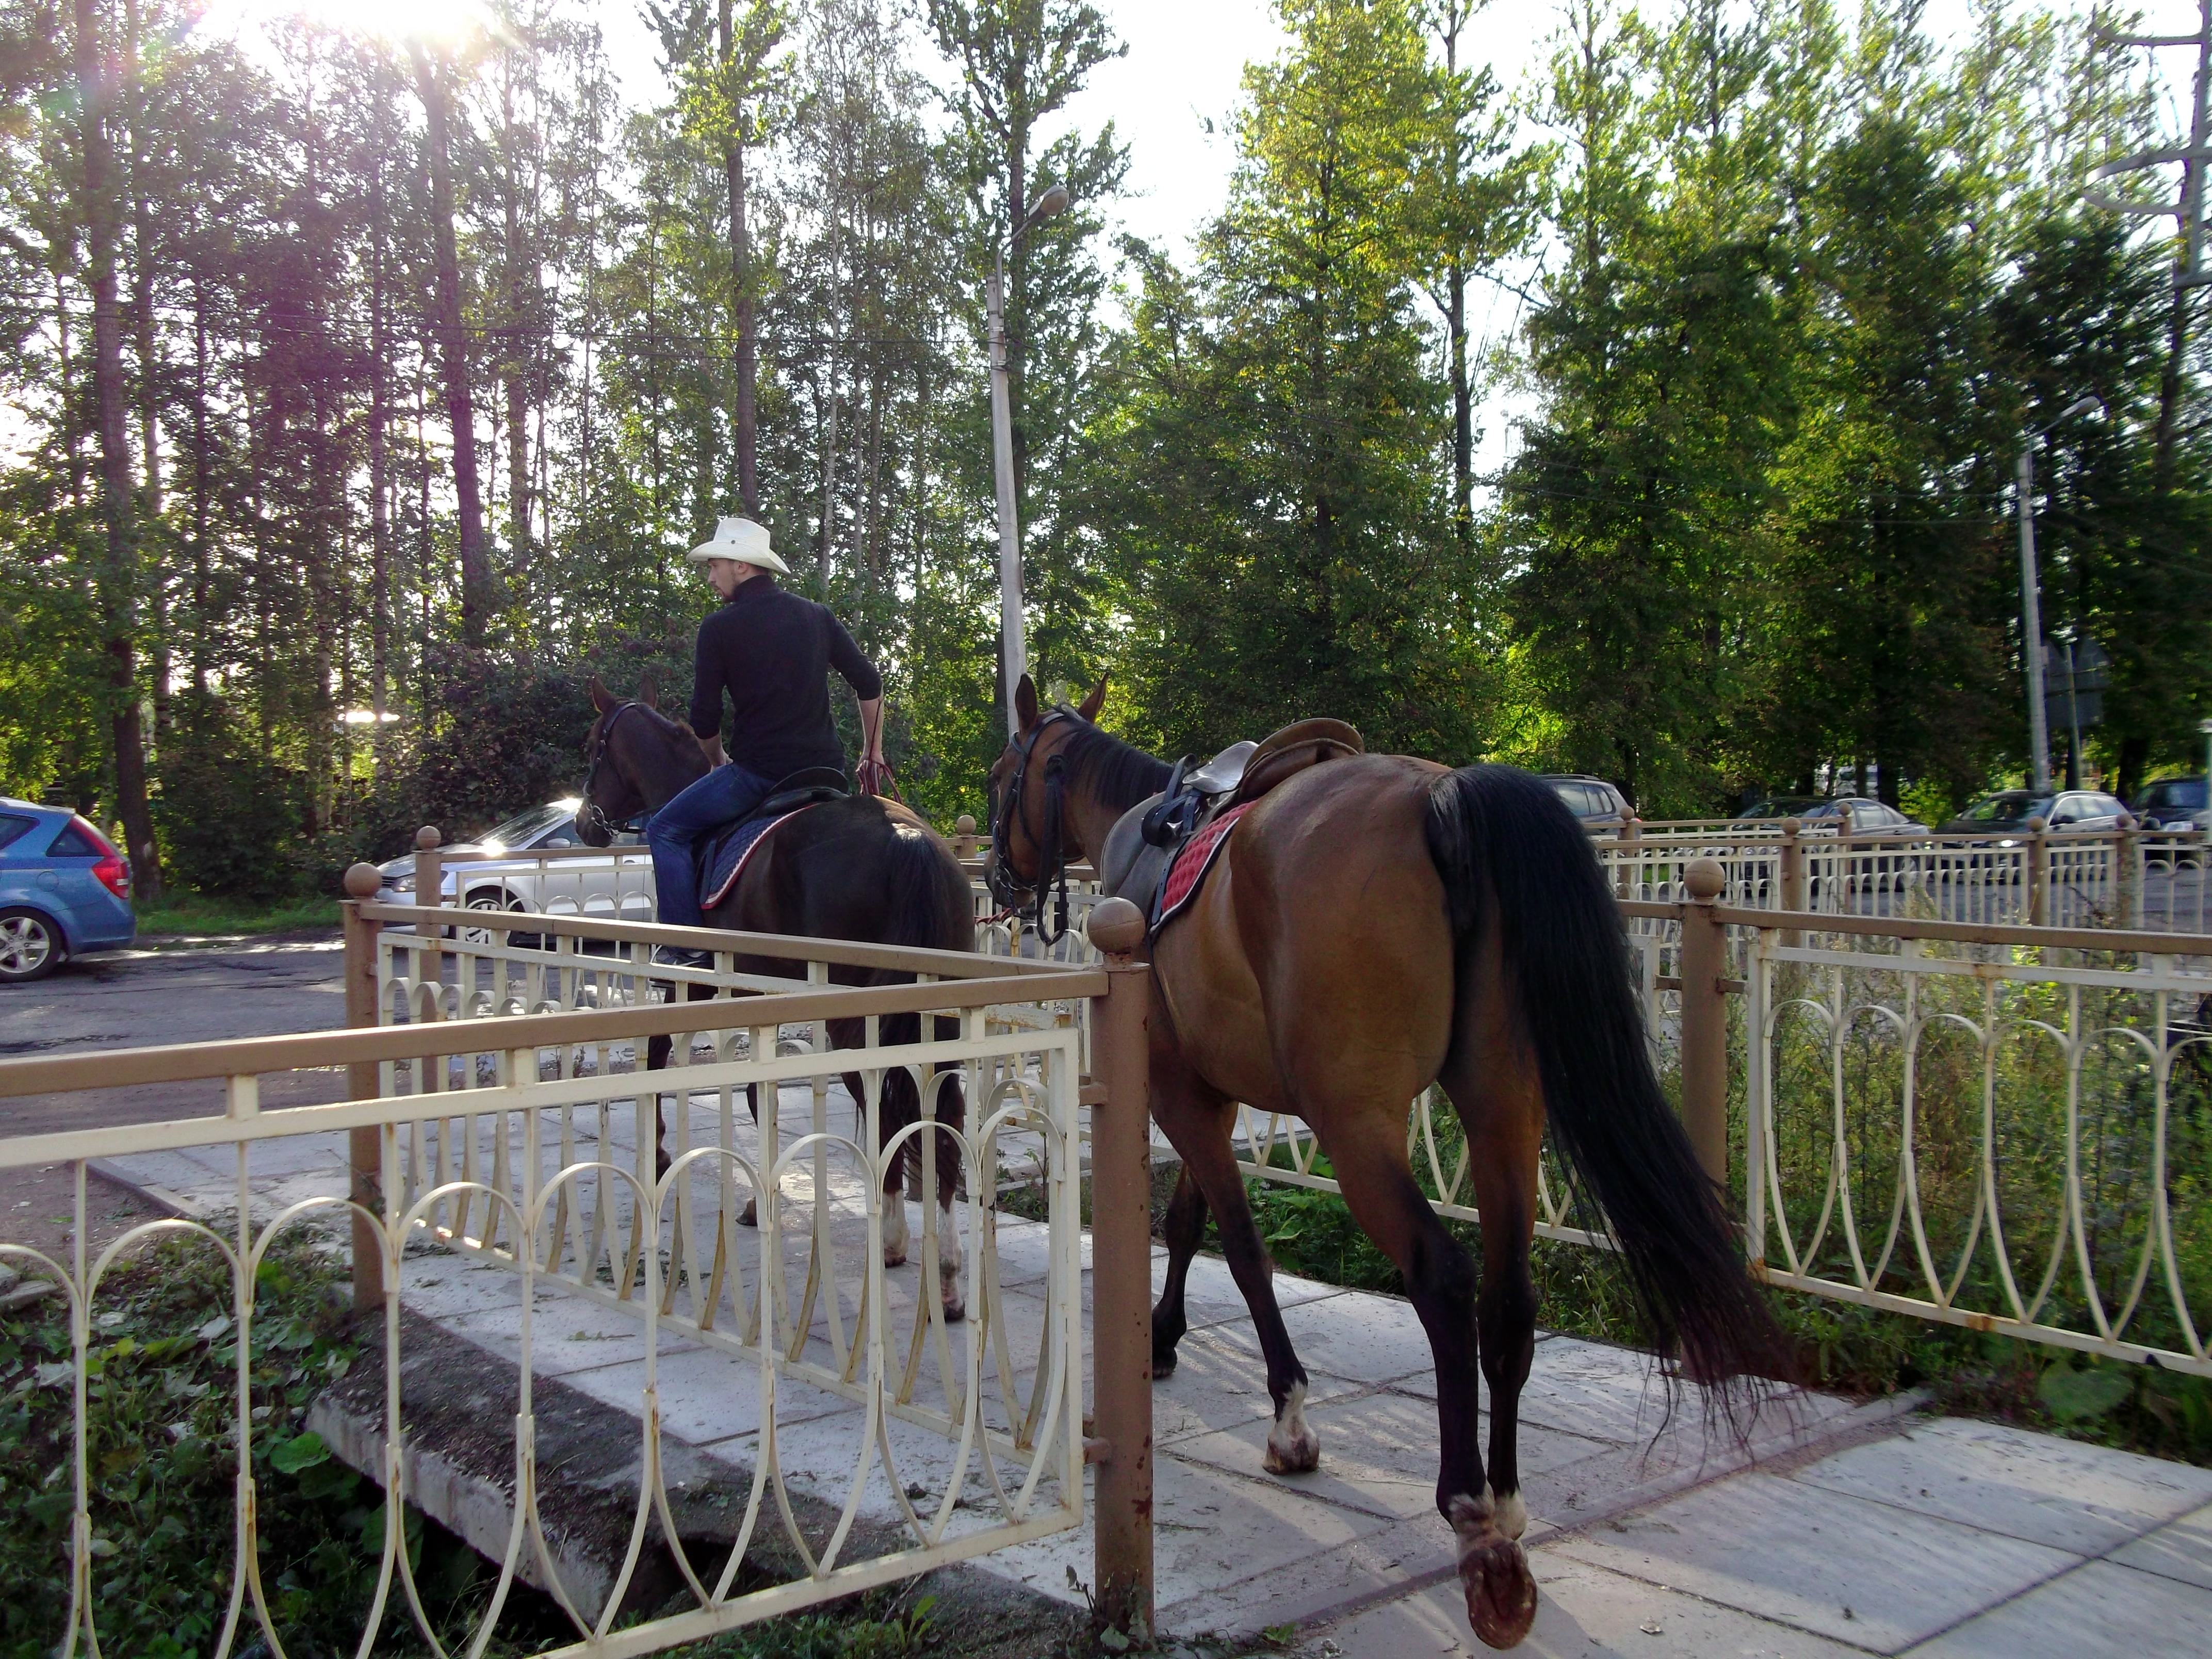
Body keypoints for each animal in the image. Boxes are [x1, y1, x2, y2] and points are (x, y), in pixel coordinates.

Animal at [579, 677, 978, 1327]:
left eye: (594, 747)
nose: (586, 822)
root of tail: (908, 839)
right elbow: (757, 1088)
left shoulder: (696, 982)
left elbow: (667, 1054)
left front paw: (663, 1155)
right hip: (932, 1014)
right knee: (937, 1111)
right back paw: (944, 1274)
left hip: (854, 1014)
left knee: (883, 1099)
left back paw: (900, 1241)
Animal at [995, 677, 1787, 1654]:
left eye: (1003, 770)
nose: (1001, 880)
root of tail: (1446, 800)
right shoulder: (1210, 1093)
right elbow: (1188, 1221)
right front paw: (1164, 1335)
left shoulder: (1181, 1092)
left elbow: (1242, 1248)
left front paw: (1288, 1415)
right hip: (1503, 1108)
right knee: (1508, 1297)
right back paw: (1505, 1502)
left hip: (1357, 1125)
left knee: (1440, 1277)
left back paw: (1471, 1516)